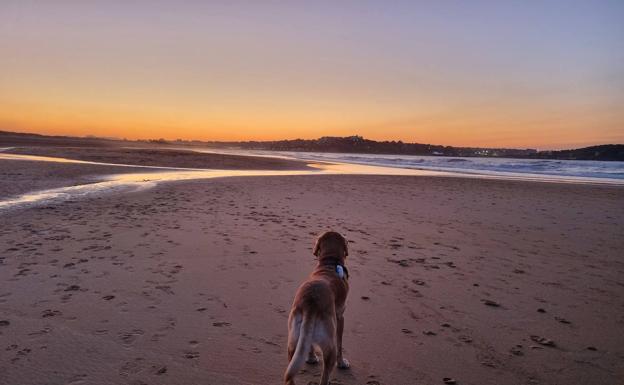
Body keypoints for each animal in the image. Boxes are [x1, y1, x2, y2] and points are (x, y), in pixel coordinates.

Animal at [284, 231, 352, 384]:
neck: (329, 263)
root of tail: (311, 302)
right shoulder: (341, 317)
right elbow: (340, 343)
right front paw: (342, 363)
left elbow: (308, 345)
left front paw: (311, 358)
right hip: (330, 345)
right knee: (325, 376)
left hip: (293, 341)